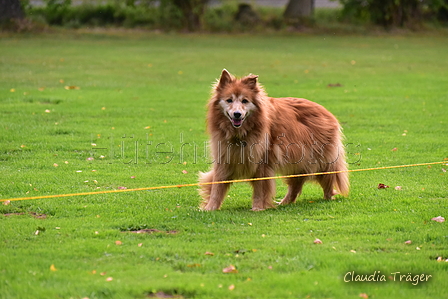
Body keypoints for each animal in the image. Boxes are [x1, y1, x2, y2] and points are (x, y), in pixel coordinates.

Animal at [200, 70, 350, 211]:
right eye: (229, 100)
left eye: (245, 101)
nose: (237, 114)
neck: (241, 133)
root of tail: (326, 112)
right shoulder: (224, 158)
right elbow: (216, 186)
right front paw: (210, 208)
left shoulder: (262, 162)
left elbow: (260, 188)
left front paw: (258, 208)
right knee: (296, 183)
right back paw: (285, 202)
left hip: (320, 159)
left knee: (327, 178)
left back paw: (328, 197)